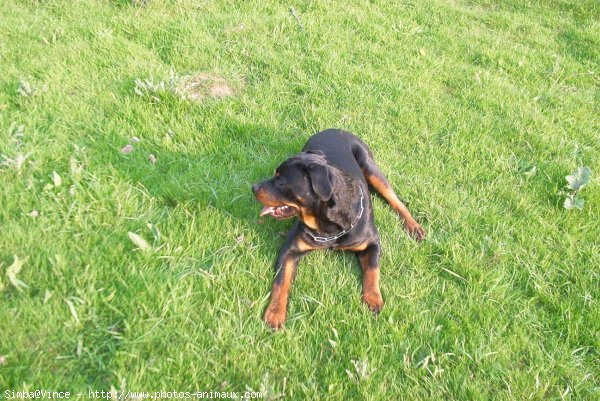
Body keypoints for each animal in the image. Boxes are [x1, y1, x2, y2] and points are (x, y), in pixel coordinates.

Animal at [251, 129, 424, 328]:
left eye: (280, 181)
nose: (253, 187)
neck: (329, 227)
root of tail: (334, 129)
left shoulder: (372, 242)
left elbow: (373, 270)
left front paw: (373, 298)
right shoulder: (289, 250)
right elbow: (281, 282)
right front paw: (275, 312)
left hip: (370, 166)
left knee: (395, 199)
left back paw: (413, 226)